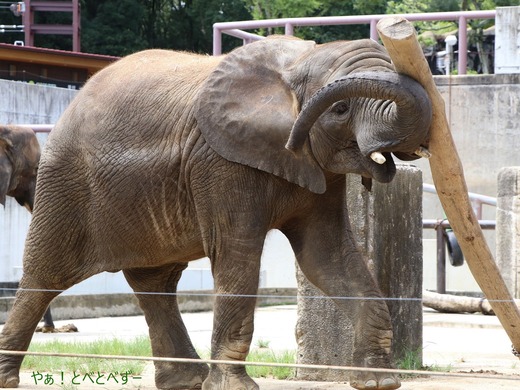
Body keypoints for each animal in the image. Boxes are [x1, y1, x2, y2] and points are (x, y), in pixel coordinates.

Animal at [0, 36, 430, 390]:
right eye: (340, 109)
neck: (300, 61)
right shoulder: (220, 163)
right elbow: (238, 254)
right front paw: (235, 388)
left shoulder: (317, 171)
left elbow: (327, 257)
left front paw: (377, 382)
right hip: (65, 183)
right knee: (45, 272)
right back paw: (8, 378)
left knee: (155, 282)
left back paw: (184, 382)